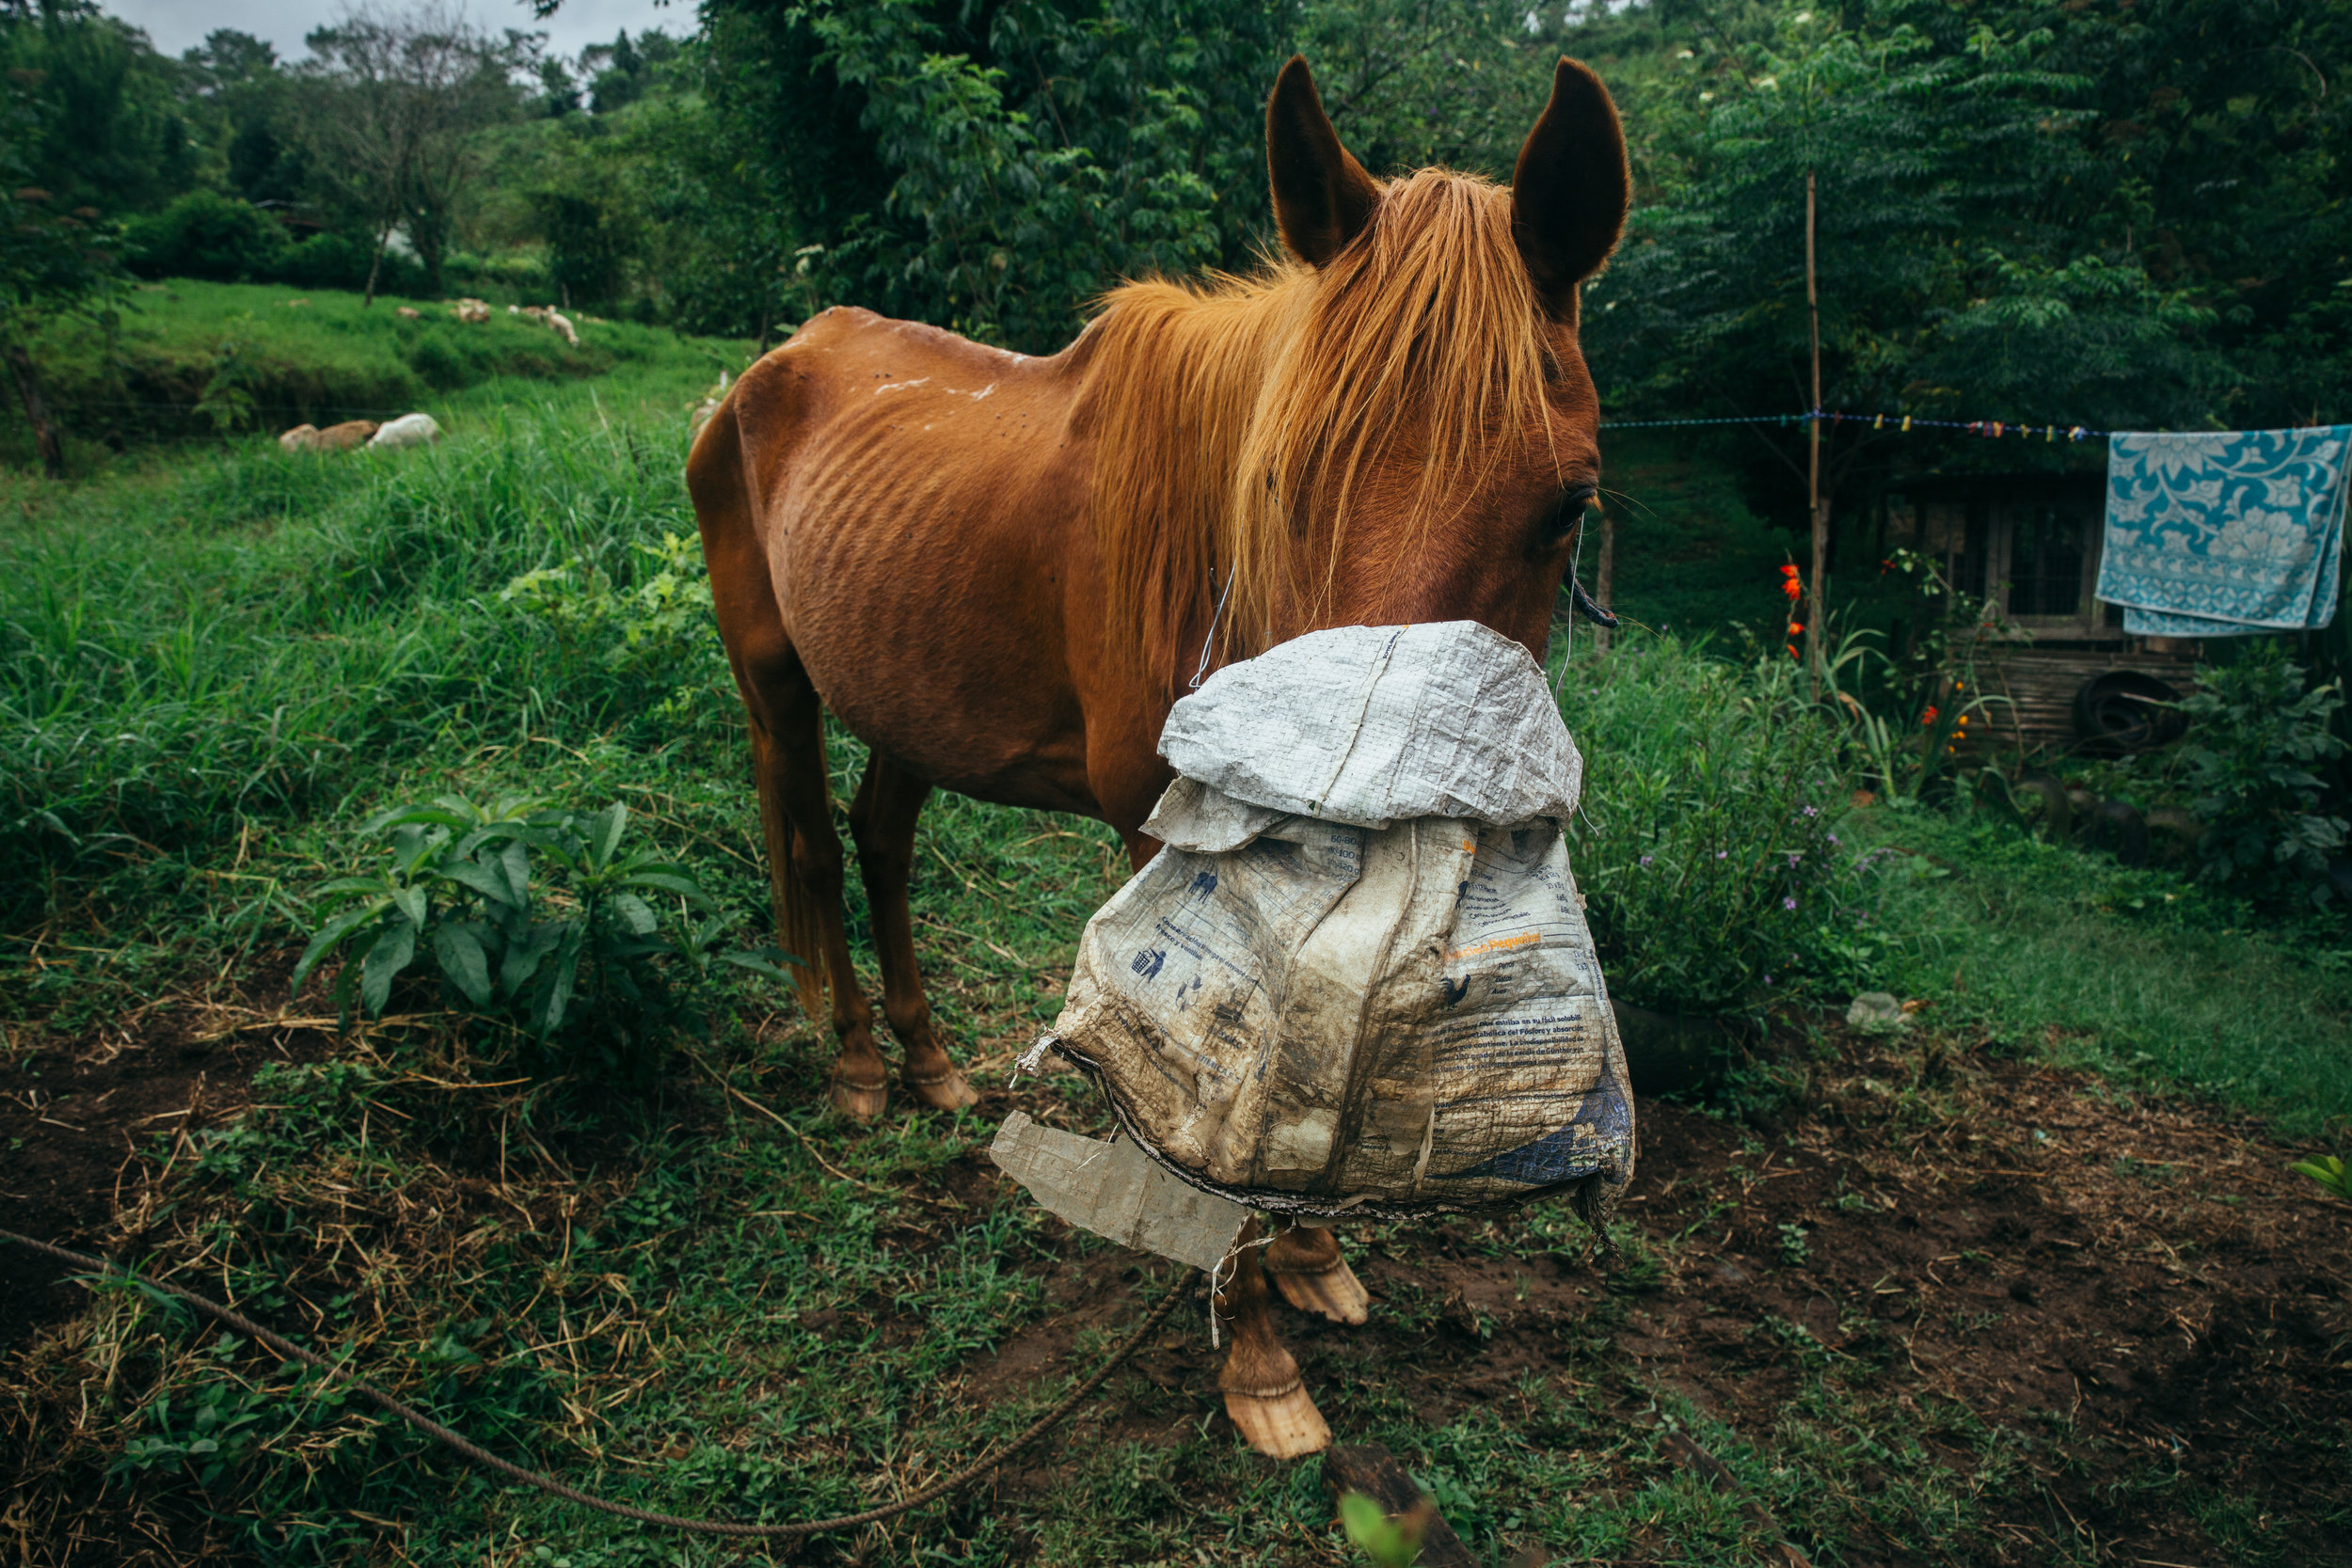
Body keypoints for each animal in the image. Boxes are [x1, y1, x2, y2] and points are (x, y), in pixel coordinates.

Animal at [686, 54, 1628, 1460]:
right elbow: (1212, 1126)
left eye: (1568, 505)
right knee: (808, 842)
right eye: (1281, 476)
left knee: (881, 838)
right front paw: (1258, 1356)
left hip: (914, 697)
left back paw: (926, 1060)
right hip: (776, 684)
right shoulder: (1164, 835)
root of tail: (772, 364)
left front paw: (1312, 1258)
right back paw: (857, 1066)